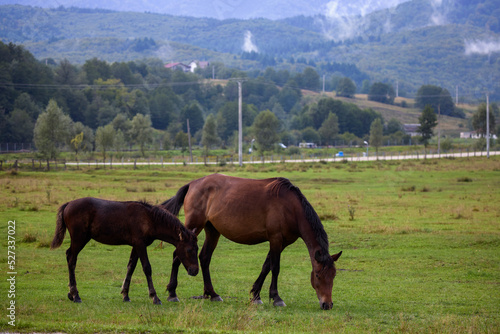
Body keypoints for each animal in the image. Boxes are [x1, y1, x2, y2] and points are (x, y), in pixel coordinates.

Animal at [50, 198, 199, 306]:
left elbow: (131, 267)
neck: (149, 218)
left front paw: (125, 295)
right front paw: (154, 297)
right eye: (189, 249)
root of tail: (68, 205)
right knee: (71, 259)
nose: (195, 271)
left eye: (197, 249)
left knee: (69, 255)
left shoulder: (136, 246)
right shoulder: (140, 244)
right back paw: (75, 295)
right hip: (79, 238)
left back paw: (71, 294)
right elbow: (147, 268)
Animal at [162, 175, 342, 310]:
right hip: (194, 225)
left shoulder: (281, 243)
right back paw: (172, 293)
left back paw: (212, 294)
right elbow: (275, 268)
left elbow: (266, 266)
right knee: (178, 254)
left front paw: (256, 295)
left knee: (205, 258)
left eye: (334, 275)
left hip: (212, 231)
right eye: (318, 275)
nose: (327, 304)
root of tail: (193, 184)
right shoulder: (275, 239)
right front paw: (276, 298)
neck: (290, 207)